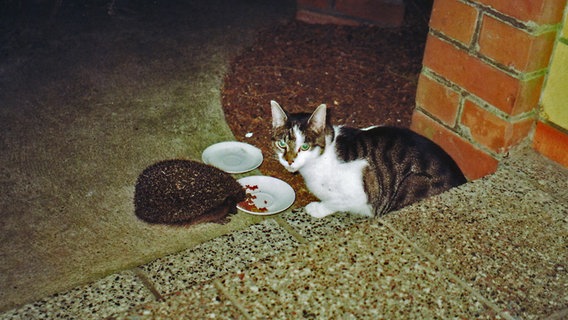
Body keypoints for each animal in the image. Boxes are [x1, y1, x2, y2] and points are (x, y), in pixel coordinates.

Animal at [270, 101, 466, 219]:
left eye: (304, 147)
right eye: (282, 144)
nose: (289, 161)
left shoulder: (361, 193)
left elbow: (335, 201)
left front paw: (317, 208)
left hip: (412, 183)